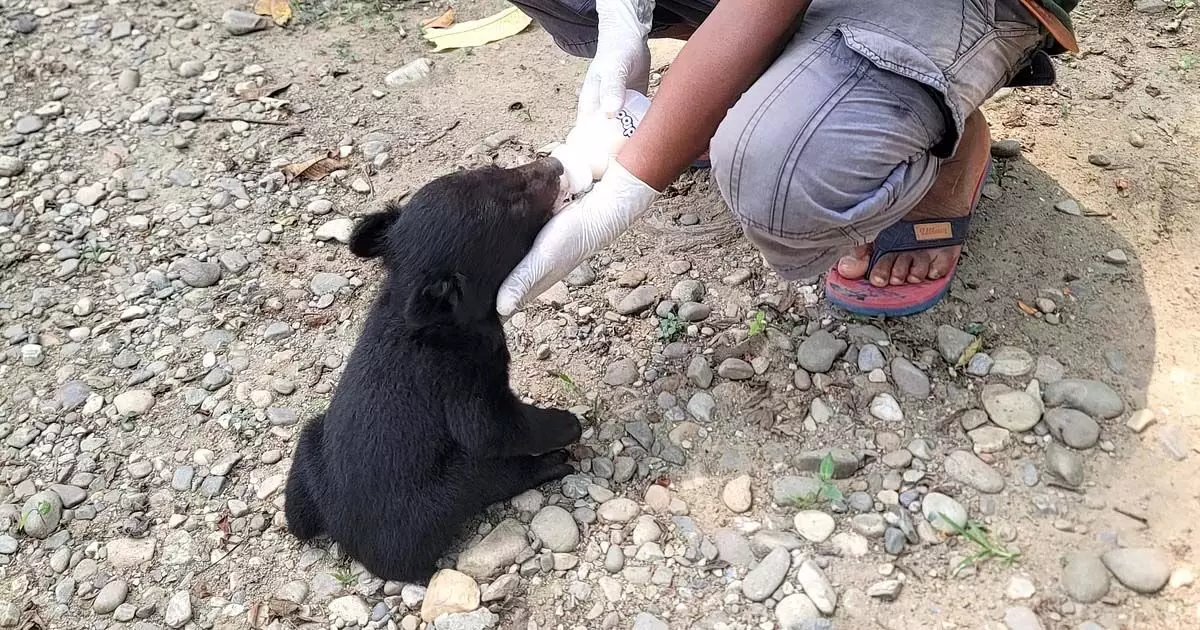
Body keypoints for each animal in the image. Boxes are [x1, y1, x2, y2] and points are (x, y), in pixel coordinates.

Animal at [284, 158, 582, 582]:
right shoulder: (464, 376)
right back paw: (549, 465)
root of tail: (344, 534)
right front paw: (566, 422)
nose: (554, 164)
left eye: (493, 169)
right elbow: (490, 428)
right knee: (486, 479)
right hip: (443, 491)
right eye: (513, 206)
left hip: (311, 445)